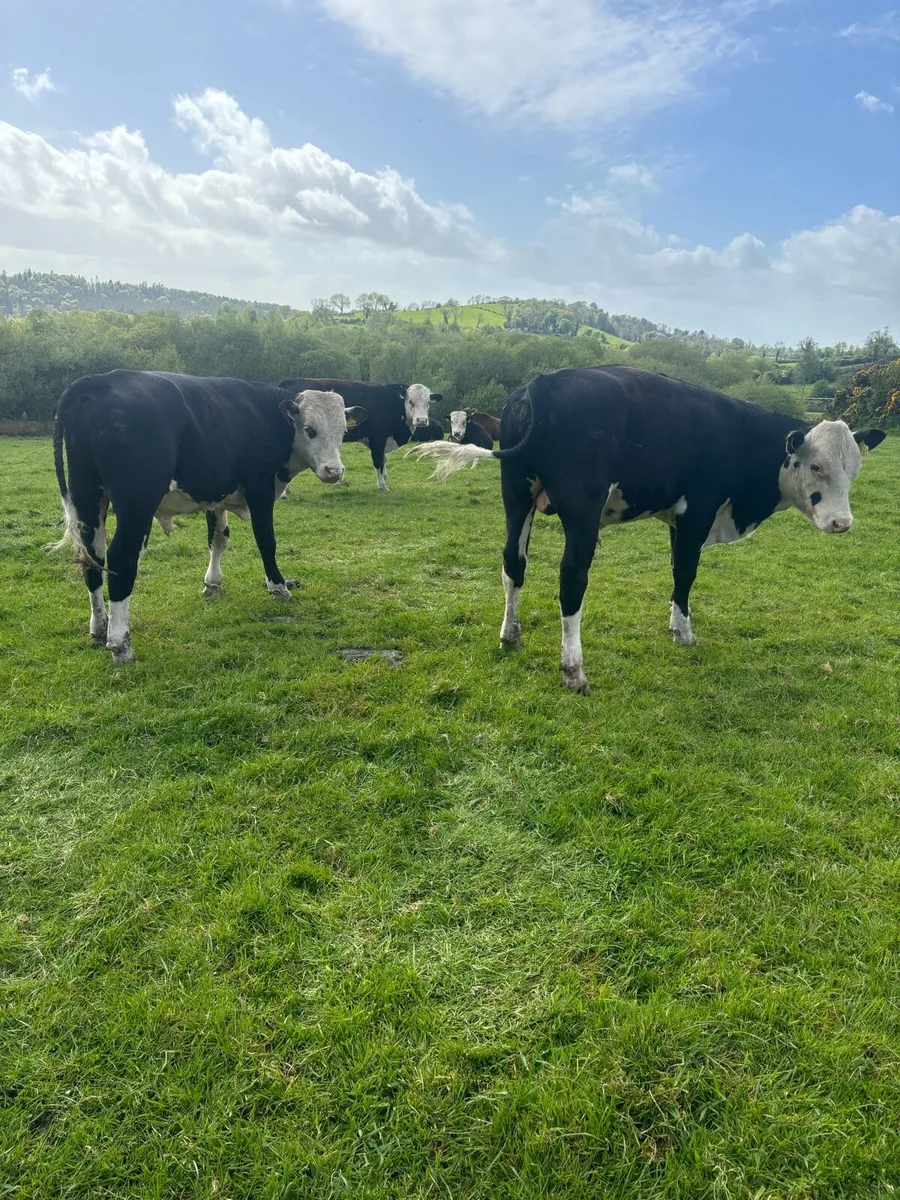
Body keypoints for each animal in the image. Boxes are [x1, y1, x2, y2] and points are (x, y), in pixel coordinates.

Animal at [49, 370, 366, 665]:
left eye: (342, 433)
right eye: (310, 430)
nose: (334, 471)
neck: (269, 417)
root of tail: (98, 381)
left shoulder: (216, 496)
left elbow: (218, 539)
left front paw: (212, 584)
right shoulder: (259, 488)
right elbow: (266, 541)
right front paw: (278, 586)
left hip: (87, 497)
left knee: (93, 558)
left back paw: (99, 628)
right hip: (136, 502)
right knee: (121, 559)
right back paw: (120, 645)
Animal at [279, 378, 442, 491]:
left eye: (428, 402)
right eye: (410, 401)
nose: (421, 420)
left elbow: (384, 463)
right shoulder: (378, 439)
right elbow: (378, 463)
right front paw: (383, 487)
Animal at [413, 365, 886, 693]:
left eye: (854, 468)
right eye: (816, 466)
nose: (842, 522)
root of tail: (541, 385)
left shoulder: (678, 518)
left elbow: (676, 570)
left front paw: (675, 625)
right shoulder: (698, 513)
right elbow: (686, 572)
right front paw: (685, 633)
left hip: (516, 494)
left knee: (514, 563)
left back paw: (510, 637)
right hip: (582, 512)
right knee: (571, 580)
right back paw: (574, 671)